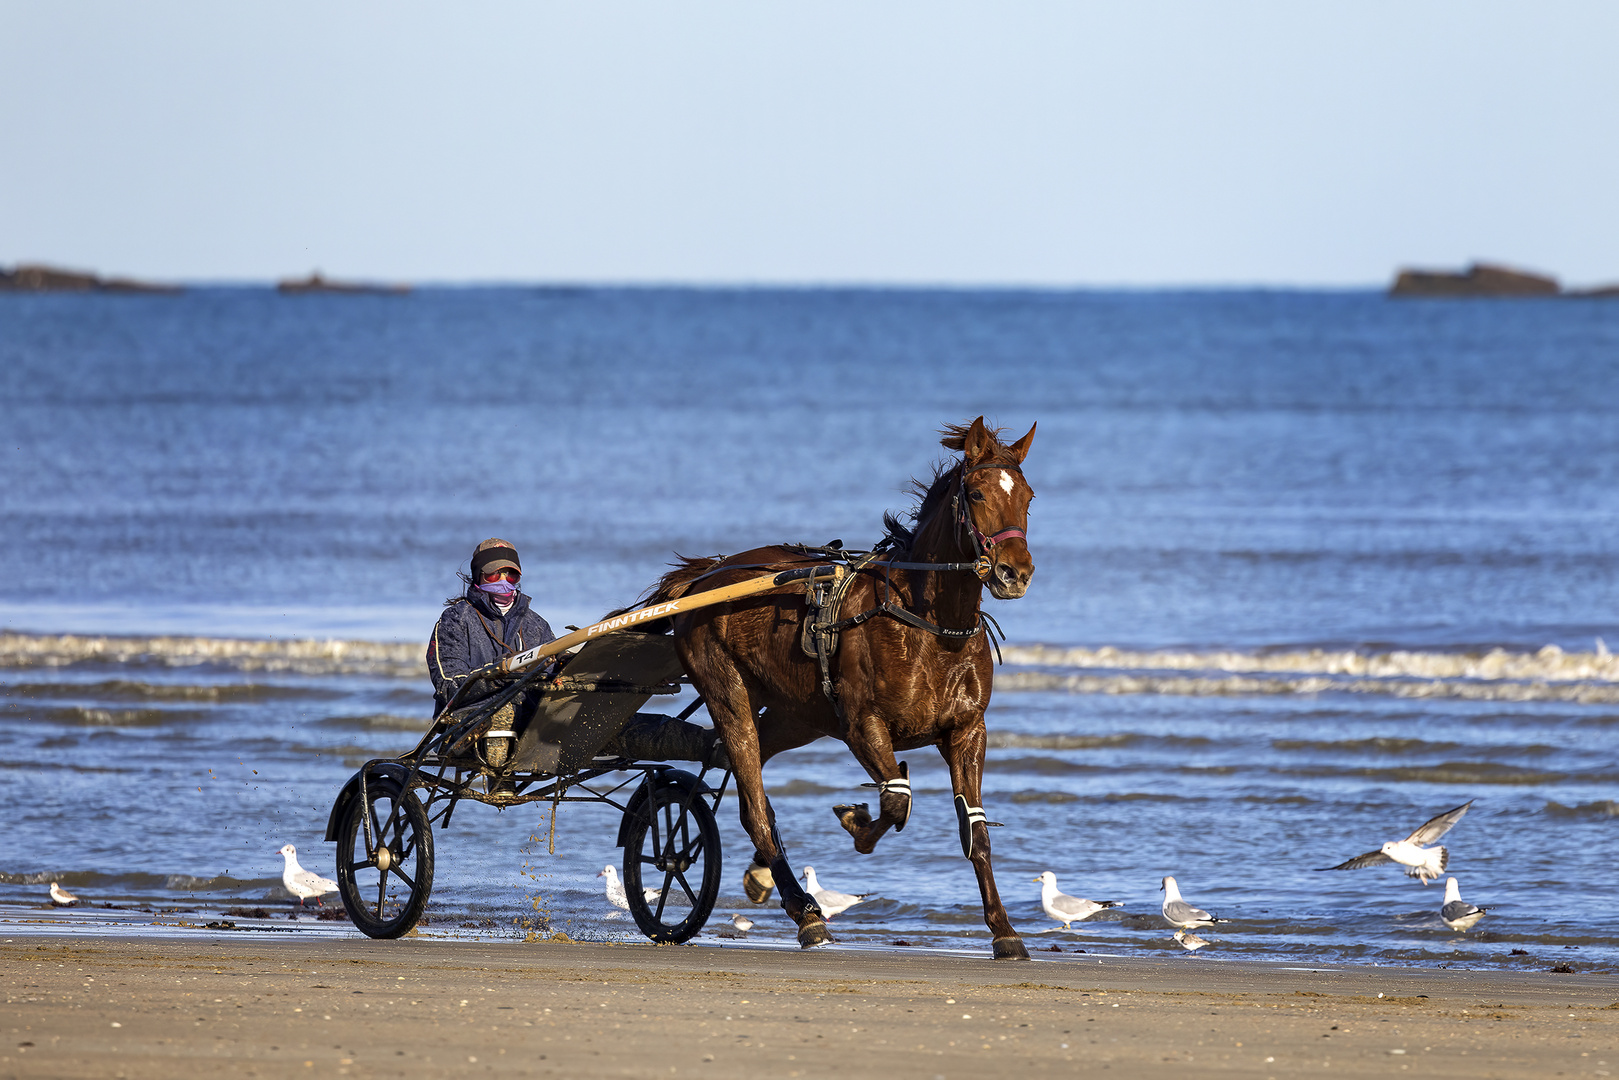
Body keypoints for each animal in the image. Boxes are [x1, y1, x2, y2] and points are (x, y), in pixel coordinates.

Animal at [644, 417, 1036, 965]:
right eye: (977, 493)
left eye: (1027, 496)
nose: (1014, 572)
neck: (930, 628)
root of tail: (703, 578)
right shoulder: (861, 723)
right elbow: (896, 802)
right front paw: (856, 820)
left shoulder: (966, 731)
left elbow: (975, 831)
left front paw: (1004, 930)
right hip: (729, 692)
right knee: (752, 796)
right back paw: (803, 912)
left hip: (795, 715)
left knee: (739, 772)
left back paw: (767, 873)